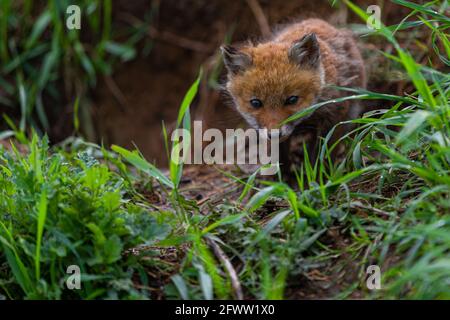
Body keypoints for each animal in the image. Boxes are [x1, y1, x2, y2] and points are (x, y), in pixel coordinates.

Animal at [221, 18, 366, 170]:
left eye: (292, 100)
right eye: (255, 103)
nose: (275, 134)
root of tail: (316, 20)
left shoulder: (336, 114)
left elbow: (324, 154)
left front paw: (320, 174)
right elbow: (279, 158)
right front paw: (285, 175)